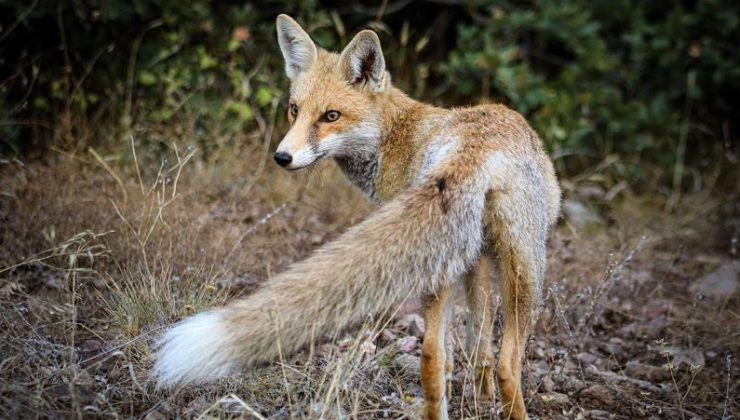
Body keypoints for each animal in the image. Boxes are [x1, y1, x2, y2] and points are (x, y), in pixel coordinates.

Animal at [152, 13, 560, 420]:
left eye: (330, 116)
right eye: (295, 110)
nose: (282, 157)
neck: (396, 138)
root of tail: (471, 149)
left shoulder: (473, 258)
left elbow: (479, 341)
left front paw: (481, 396)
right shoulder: (476, 259)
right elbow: (485, 343)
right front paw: (484, 397)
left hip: (457, 264)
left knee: (432, 355)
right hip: (526, 271)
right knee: (504, 363)